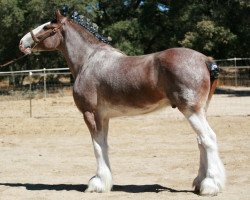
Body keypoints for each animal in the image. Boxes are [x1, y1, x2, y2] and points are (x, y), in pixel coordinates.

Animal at [18, 10, 225, 196]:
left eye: (47, 27)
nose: (21, 43)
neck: (89, 60)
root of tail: (205, 60)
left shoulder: (90, 114)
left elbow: (97, 146)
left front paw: (97, 184)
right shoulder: (103, 117)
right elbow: (104, 144)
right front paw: (105, 182)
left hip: (191, 110)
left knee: (208, 138)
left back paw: (210, 186)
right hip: (200, 110)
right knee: (201, 141)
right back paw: (200, 182)